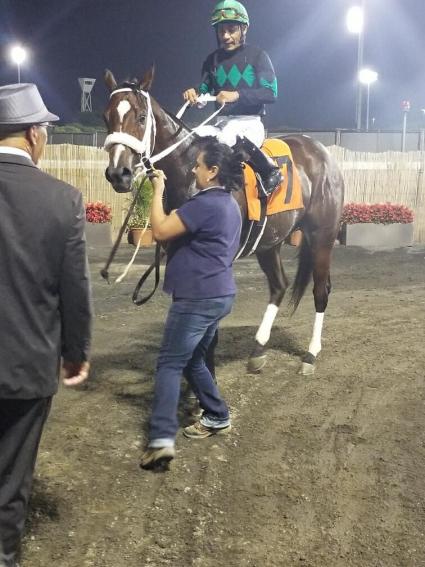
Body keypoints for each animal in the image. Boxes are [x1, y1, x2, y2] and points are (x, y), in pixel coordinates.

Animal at [102, 67, 344, 378]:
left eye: (142, 117)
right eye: (106, 117)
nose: (118, 174)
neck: (191, 173)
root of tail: (321, 151)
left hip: (322, 236)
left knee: (320, 290)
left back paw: (311, 354)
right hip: (270, 242)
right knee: (279, 285)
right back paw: (258, 350)